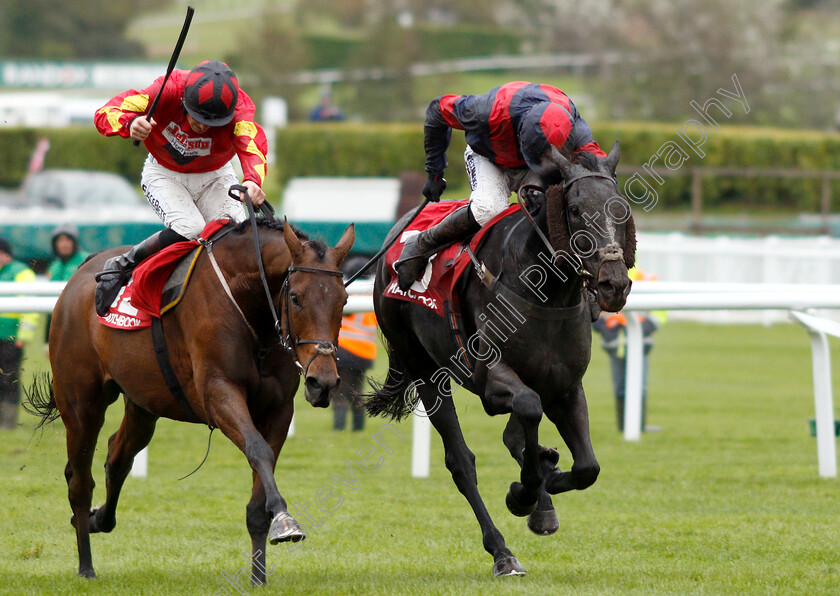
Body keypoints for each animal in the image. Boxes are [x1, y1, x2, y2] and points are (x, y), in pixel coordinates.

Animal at [27, 215, 354, 584]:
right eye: (296, 298)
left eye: (343, 300)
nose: (322, 382)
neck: (246, 301)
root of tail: (78, 276)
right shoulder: (218, 393)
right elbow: (257, 449)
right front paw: (285, 522)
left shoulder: (279, 408)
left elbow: (261, 479)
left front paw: (258, 576)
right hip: (82, 403)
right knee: (80, 480)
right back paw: (86, 565)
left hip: (143, 404)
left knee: (117, 457)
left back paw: (100, 519)